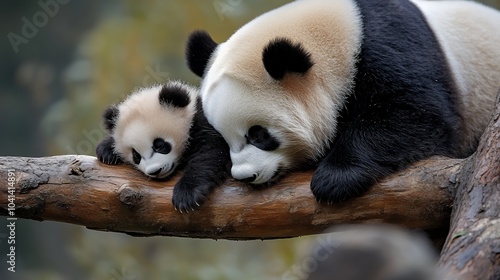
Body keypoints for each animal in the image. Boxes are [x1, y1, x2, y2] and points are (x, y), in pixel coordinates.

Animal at [185, 0, 500, 202]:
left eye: (259, 135)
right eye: (225, 136)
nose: (245, 176)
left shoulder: (391, 46)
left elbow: (415, 113)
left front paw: (335, 178)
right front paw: (193, 187)